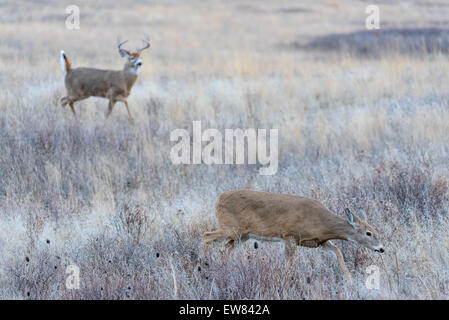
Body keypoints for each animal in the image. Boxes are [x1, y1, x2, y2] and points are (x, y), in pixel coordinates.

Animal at [201, 190, 384, 282]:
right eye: (368, 233)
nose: (381, 248)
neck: (322, 222)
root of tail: (218, 199)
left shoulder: (319, 242)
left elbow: (338, 251)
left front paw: (350, 281)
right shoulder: (290, 235)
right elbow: (288, 263)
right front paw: (286, 282)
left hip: (242, 235)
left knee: (224, 248)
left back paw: (223, 270)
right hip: (230, 227)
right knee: (206, 235)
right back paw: (203, 267)